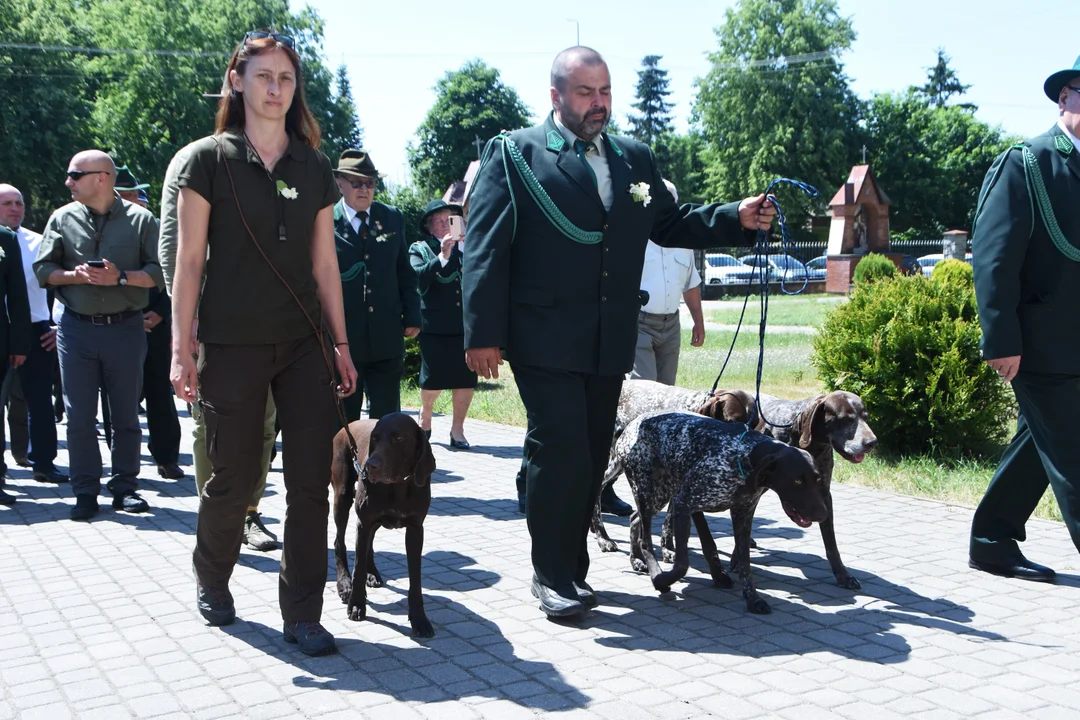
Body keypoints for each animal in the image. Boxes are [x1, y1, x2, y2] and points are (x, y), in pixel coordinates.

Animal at [330, 410, 436, 634]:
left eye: (398, 438)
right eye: (375, 439)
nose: (370, 466)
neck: (397, 486)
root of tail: (346, 426)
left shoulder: (415, 530)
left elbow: (415, 579)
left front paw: (419, 619)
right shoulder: (364, 522)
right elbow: (358, 567)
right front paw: (356, 604)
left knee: (368, 544)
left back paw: (372, 573)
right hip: (342, 496)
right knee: (339, 542)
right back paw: (344, 584)